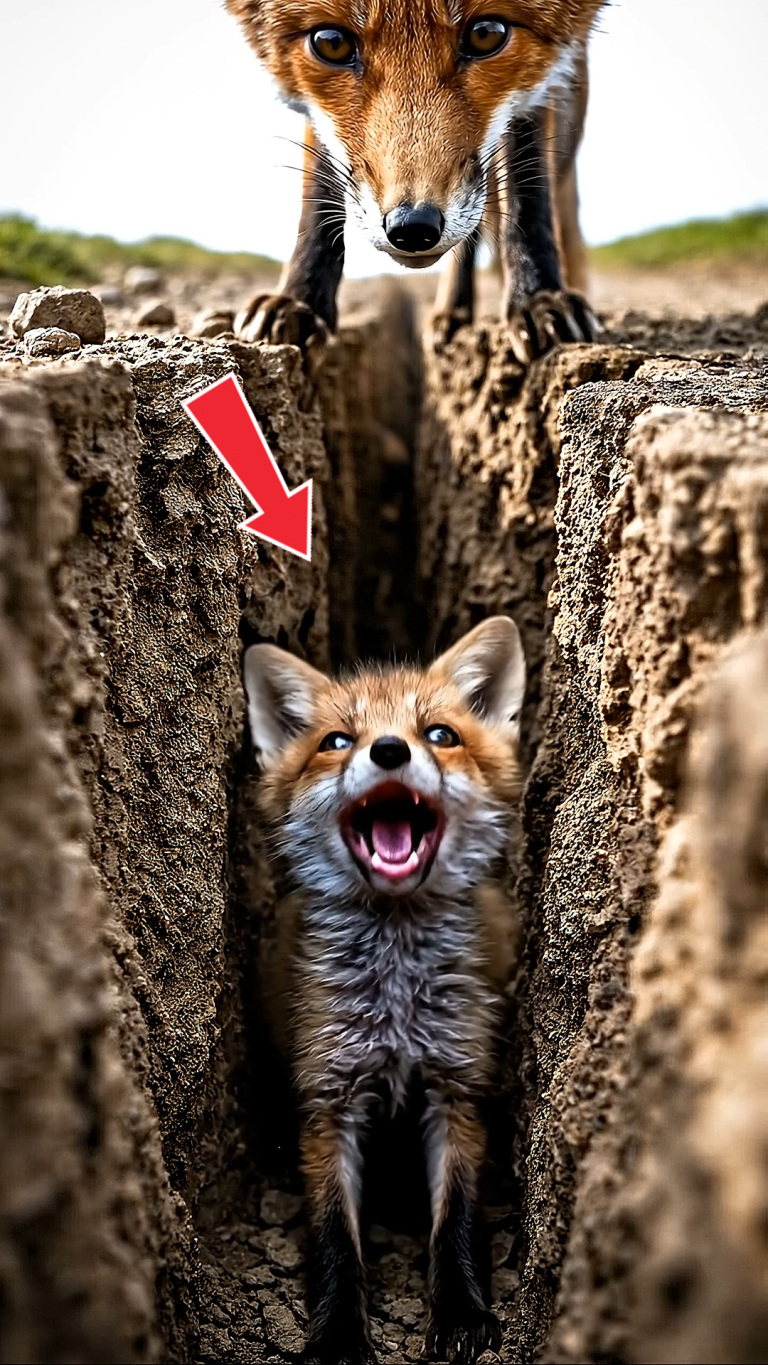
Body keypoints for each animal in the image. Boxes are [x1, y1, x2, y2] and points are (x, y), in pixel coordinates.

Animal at [225, 0, 605, 366]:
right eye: (331, 43)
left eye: (486, 34)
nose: (412, 227)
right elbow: (318, 194)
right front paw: (300, 300)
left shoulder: (545, 72)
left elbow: (527, 190)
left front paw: (537, 296)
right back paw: (453, 313)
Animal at [243, 616, 526, 1365]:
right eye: (337, 742)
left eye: (441, 734)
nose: (390, 750)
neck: (396, 1000)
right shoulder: (326, 1098)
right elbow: (334, 1238)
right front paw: (339, 1333)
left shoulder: (458, 1088)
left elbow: (456, 1220)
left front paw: (462, 1313)